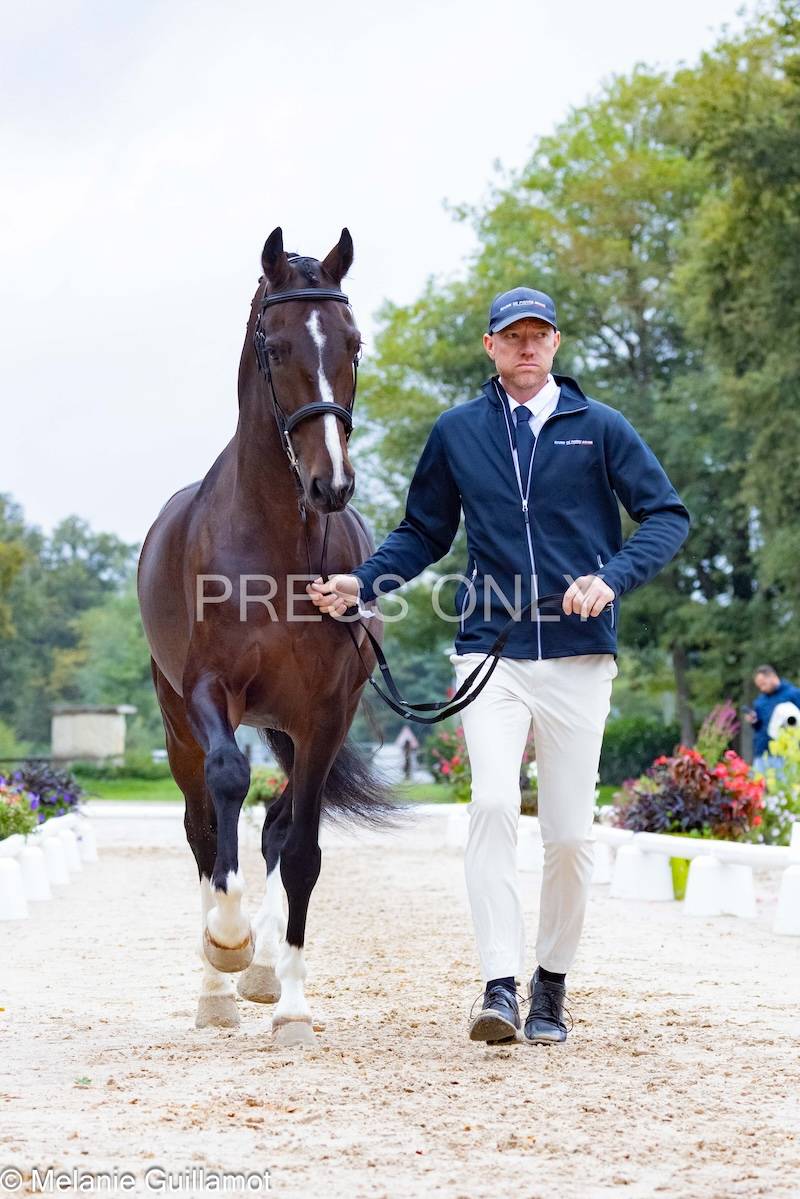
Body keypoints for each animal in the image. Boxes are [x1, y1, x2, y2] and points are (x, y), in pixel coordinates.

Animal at [137, 227, 394, 1045]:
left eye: (353, 342)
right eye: (274, 347)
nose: (330, 485)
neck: (277, 544)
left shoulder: (326, 714)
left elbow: (303, 845)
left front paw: (293, 1005)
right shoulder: (209, 691)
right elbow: (226, 785)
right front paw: (227, 940)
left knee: (278, 825)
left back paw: (258, 977)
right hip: (175, 719)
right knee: (200, 824)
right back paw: (217, 986)